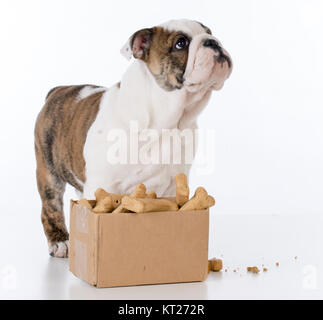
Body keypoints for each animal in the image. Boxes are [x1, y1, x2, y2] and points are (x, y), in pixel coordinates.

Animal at [34, 18, 233, 258]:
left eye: (209, 32)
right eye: (180, 43)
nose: (213, 42)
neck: (170, 119)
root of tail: (57, 90)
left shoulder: (174, 183)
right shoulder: (101, 183)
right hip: (48, 172)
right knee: (50, 205)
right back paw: (60, 241)